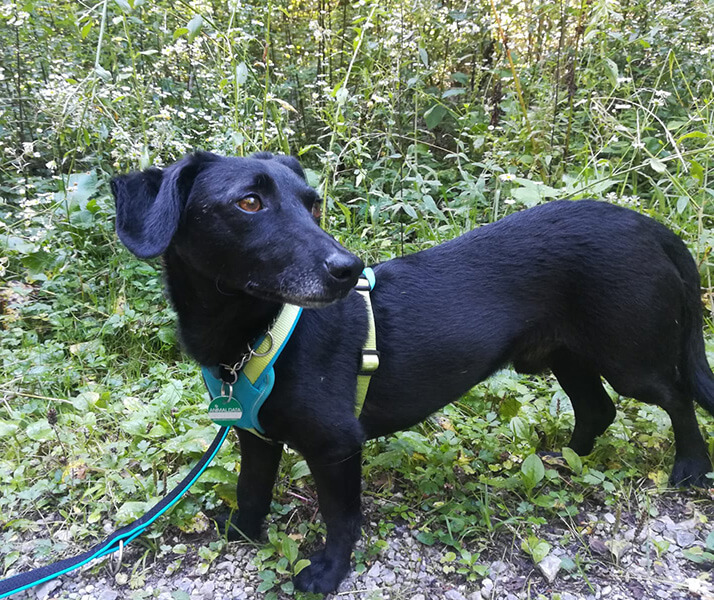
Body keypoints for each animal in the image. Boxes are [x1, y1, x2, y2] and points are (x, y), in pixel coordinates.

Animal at [112, 151, 714, 594]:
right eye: (249, 202)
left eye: (312, 206)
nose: (348, 268)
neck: (259, 335)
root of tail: (653, 228)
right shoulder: (255, 435)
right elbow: (251, 489)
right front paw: (240, 531)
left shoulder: (336, 446)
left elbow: (341, 517)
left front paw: (327, 574)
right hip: (564, 355)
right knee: (598, 409)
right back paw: (564, 462)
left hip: (631, 356)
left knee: (676, 398)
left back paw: (690, 468)